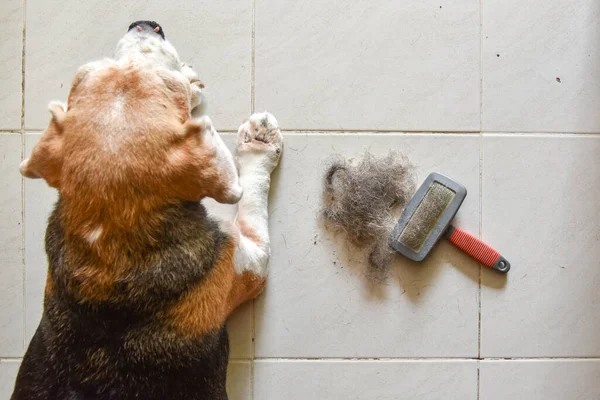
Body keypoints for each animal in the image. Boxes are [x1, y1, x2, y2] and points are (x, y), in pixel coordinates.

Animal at [11, 21, 282, 400]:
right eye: (169, 85)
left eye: (88, 72)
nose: (145, 25)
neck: (109, 234)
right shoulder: (252, 260)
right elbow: (252, 193)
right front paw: (259, 141)